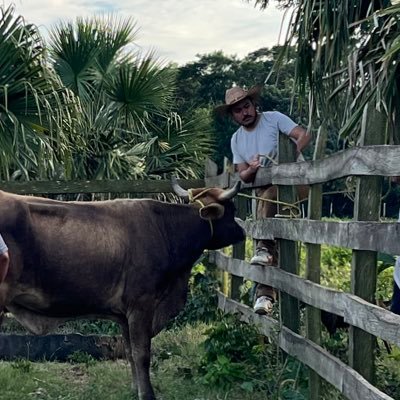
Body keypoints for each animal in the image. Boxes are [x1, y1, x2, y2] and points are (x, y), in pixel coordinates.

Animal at [0, 180, 244, 400]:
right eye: (232, 210)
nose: (242, 231)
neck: (167, 229)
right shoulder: (141, 305)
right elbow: (141, 353)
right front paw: (147, 394)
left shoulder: (125, 314)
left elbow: (128, 351)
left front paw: (135, 389)